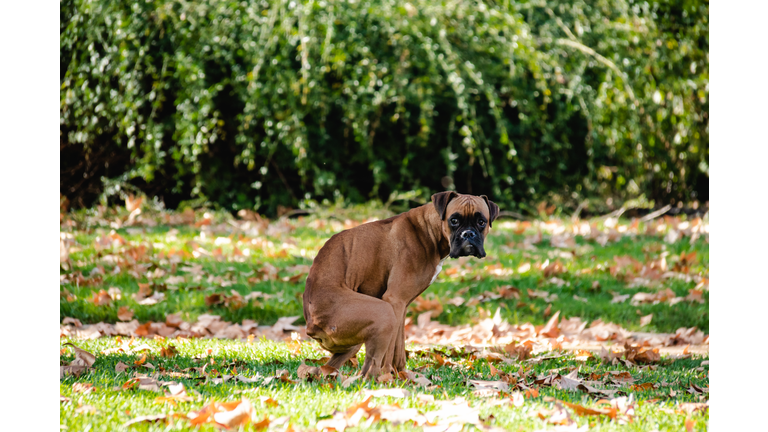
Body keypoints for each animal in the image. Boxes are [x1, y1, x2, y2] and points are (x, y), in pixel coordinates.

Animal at [300, 192, 498, 378]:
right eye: (454, 220)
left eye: (481, 222)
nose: (468, 234)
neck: (429, 230)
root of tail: (311, 325)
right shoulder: (394, 301)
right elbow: (389, 352)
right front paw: (388, 376)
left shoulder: (401, 307)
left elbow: (399, 347)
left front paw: (403, 375)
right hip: (383, 313)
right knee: (368, 370)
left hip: (353, 343)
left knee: (326, 369)